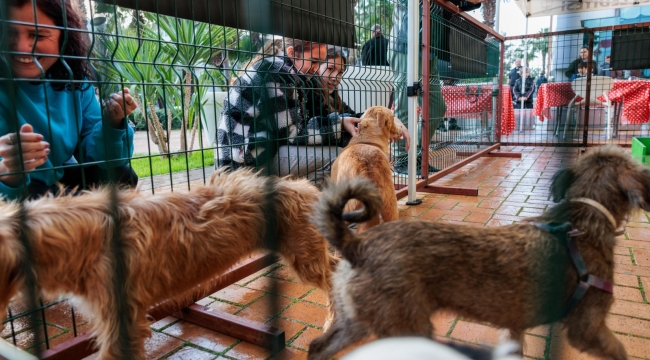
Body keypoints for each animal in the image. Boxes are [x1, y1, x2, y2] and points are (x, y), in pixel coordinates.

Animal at [306, 146, 644, 360]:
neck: (583, 220)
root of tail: (356, 244)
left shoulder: (514, 329)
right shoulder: (588, 328)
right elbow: (619, 351)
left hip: (357, 320)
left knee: (318, 347)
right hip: (404, 325)